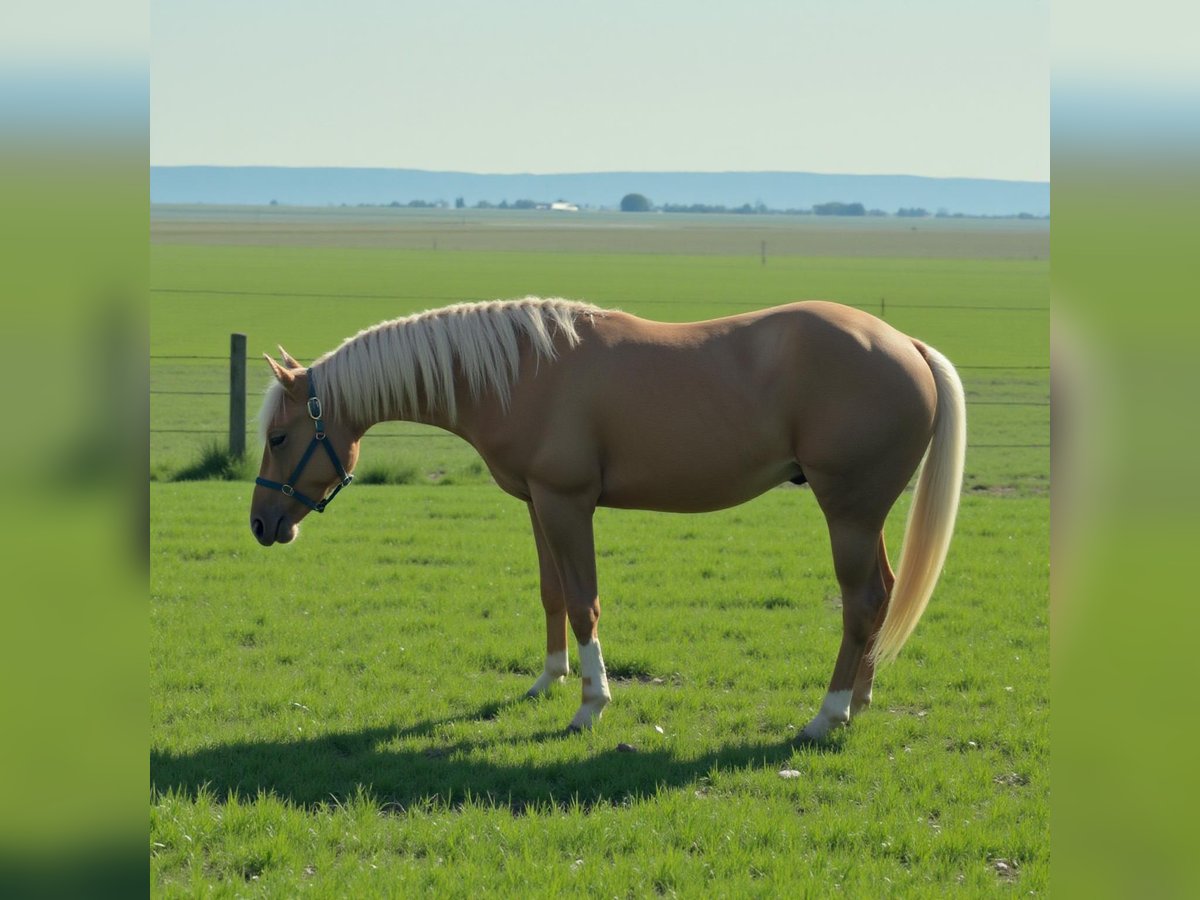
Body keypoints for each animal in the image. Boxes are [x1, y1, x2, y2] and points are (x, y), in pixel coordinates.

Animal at [250, 297, 965, 741]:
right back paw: (860, 701)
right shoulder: (538, 503)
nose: (261, 525)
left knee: (861, 602)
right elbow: (552, 594)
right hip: (866, 516)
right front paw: (548, 679)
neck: (522, 371)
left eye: (280, 438)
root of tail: (906, 344)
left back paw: (828, 715)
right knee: (883, 596)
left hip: (848, 513)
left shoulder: (568, 503)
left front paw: (591, 705)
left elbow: (583, 601)